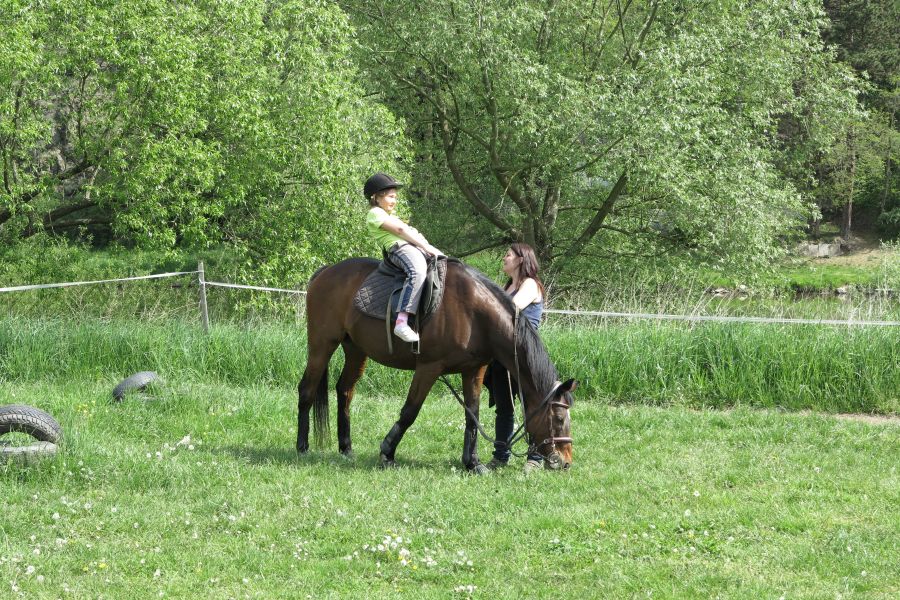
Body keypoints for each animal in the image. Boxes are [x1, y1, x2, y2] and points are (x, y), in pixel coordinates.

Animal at [296, 257, 575, 472]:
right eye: (559, 417)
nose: (566, 461)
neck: (475, 313)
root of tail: (326, 272)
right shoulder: (429, 367)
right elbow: (410, 411)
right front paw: (387, 452)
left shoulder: (473, 370)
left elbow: (472, 415)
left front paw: (473, 463)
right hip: (322, 344)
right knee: (307, 390)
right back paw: (302, 447)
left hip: (355, 350)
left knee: (345, 391)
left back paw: (346, 448)